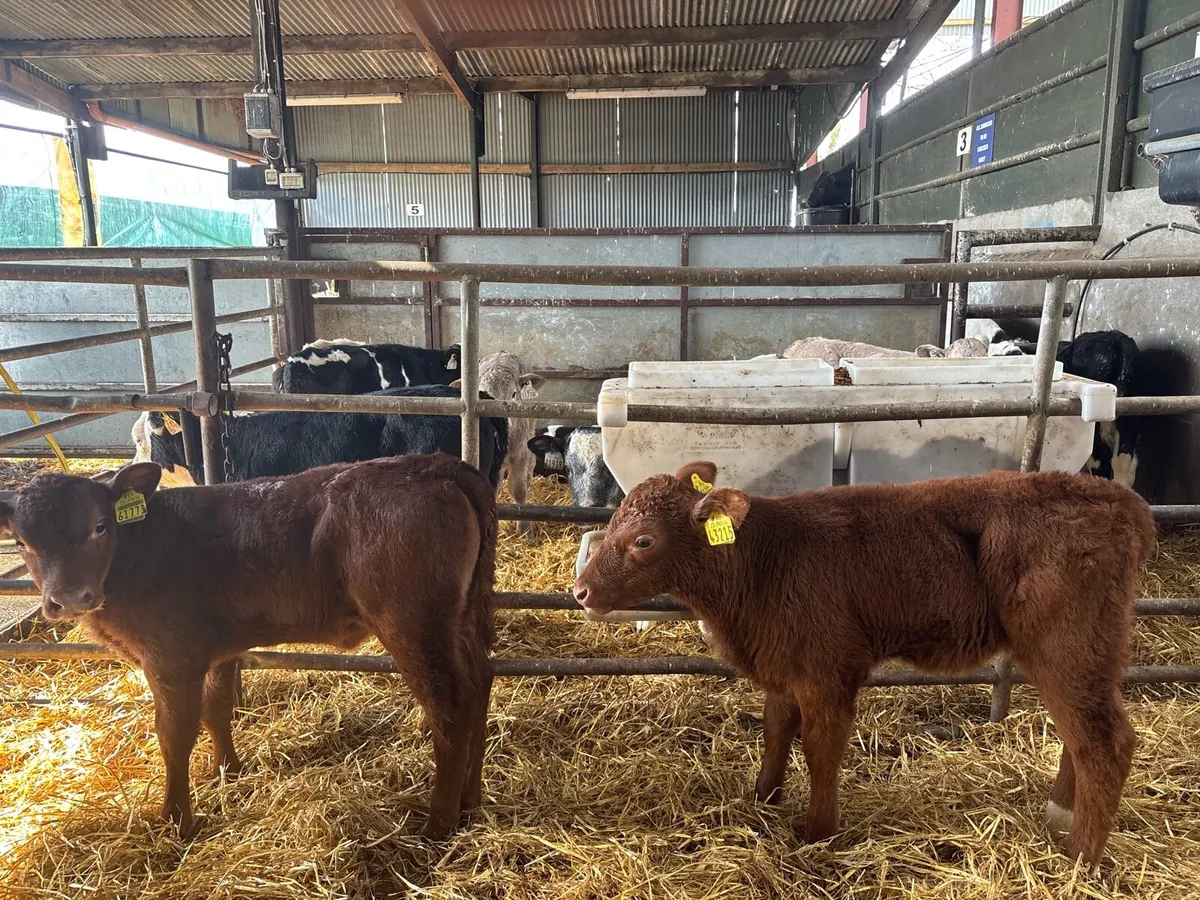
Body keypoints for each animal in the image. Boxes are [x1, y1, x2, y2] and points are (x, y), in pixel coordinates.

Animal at [0, 454, 497, 839]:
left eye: (100, 526)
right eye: (21, 542)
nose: (69, 598)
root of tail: (433, 464)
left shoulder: (170, 658)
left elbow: (174, 735)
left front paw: (176, 820)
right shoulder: (217, 650)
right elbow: (217, 708)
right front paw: (227, 771)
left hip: (413, 624)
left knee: (450, 706)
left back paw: (437, 823)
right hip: (461, 618)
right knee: (480, 683)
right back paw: (470, 801)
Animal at [573, 462, 1154, 868]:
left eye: (643, 540)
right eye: (613, 520)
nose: (579, 591)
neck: (762, 562)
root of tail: (1116, 498)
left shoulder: (828, 671)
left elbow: (820, 749)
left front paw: (818, 834)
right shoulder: (783, 664)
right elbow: (775, 731)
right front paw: (762, 803)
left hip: (1067, 643)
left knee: (1104, 741)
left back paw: (1077, 858)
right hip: (1084, 652)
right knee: (1079, 735)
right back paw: (1059, 820)